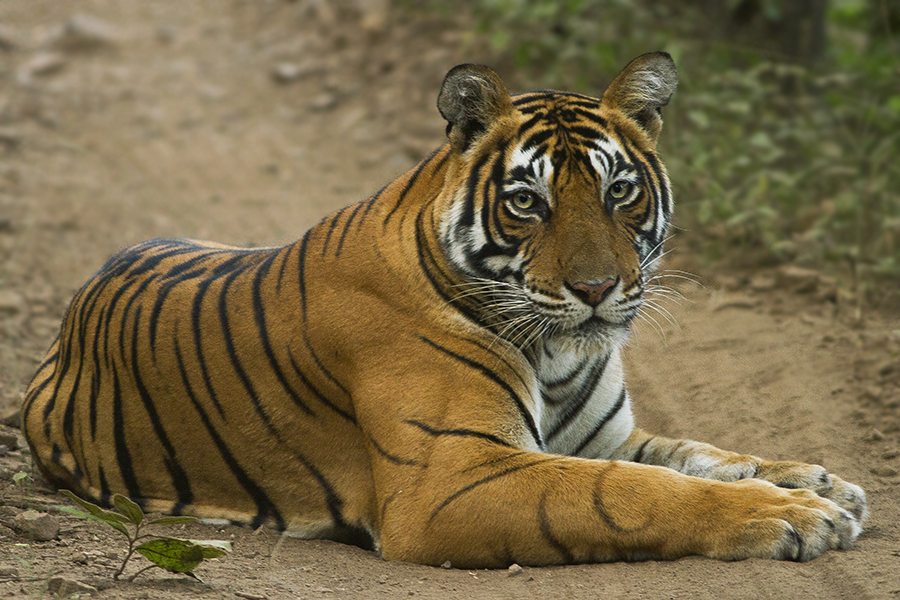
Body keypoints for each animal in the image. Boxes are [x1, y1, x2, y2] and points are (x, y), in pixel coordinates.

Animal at [21, 52, 864, 568]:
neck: (558, 355)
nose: (597, 289)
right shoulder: (452, 479)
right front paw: (792, 515)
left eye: (619, 191)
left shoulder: (605, 437)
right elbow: (630, 491)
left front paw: (818, 482)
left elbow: (698, 453)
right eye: (527, 203)